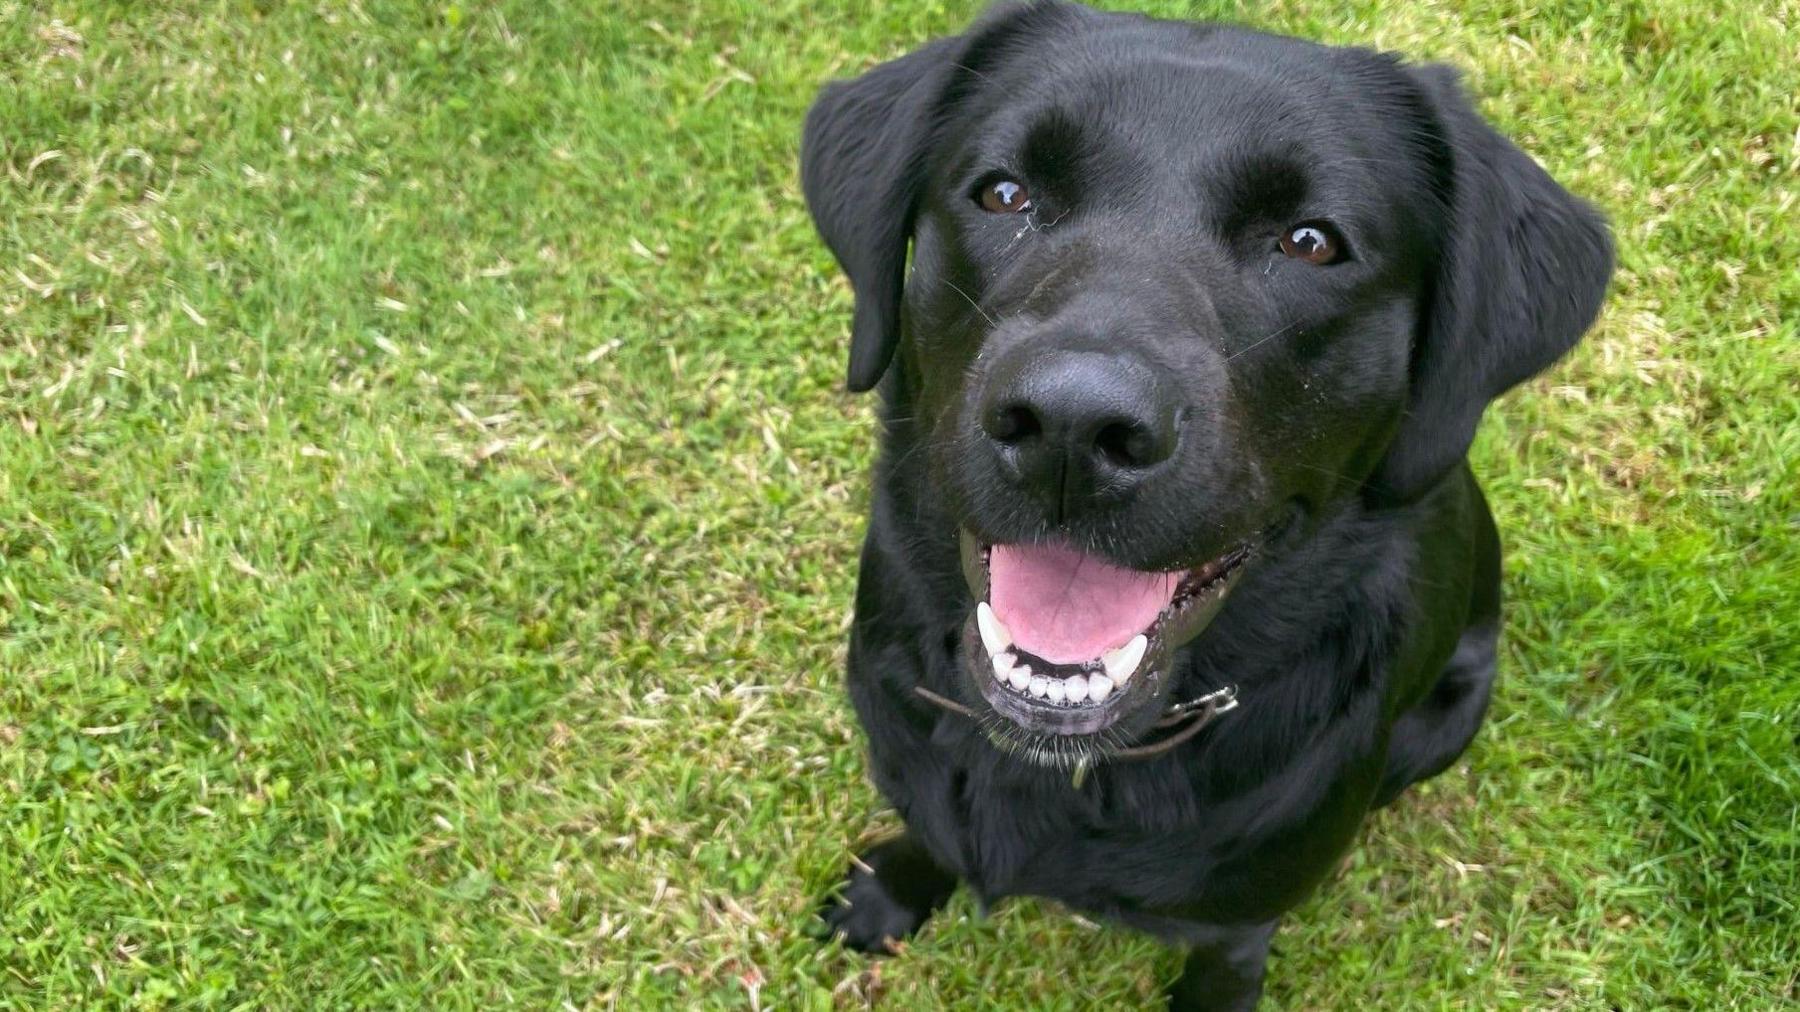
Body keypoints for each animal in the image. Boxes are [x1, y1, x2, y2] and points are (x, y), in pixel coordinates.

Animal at [795, 5, 1612, 1001]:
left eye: (1310, 242)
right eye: (1002, 193)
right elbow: (927, 828)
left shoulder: (1240, 921)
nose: (1072, 426)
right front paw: (889, 890)